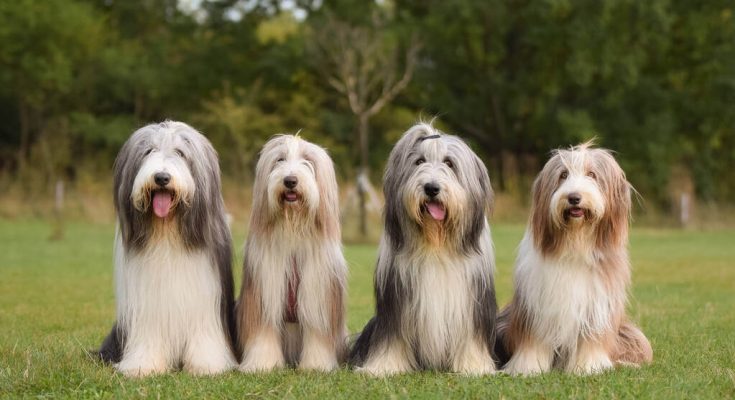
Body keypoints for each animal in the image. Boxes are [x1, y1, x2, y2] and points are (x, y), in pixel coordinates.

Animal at [98, 120, 236, 376]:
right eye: (148, 151)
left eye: (180, 153)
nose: (161, 177)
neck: (167, 232)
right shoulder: (146, 307)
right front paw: (143, 365)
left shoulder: (204, 298)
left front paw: (206, 365)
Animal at [237, 134, 350, 372]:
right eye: (279, 160)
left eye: (308, 161)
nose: (290, 180)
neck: (292, 231)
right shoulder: (264, 291)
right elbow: (263, 332)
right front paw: (262, 364)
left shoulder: (318, 293)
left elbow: (317, 334)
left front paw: (316, 366)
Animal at [350, 122, 500, 376]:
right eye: (419, 161)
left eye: (449, 163)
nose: (431, 188)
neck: (435, 244)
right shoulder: (395, 303)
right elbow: (393, 337)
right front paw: (384, 367)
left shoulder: (472, 303)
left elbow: (470, 337)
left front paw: (473, 366)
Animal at [498, 141, 652, 376]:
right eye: (563, 175)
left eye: (592, 174)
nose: (573, 198)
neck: (575, 245)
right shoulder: (537, 307)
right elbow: (534, 341)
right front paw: (528, 367)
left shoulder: (595, 308)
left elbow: (591, 341)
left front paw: (589, 367)